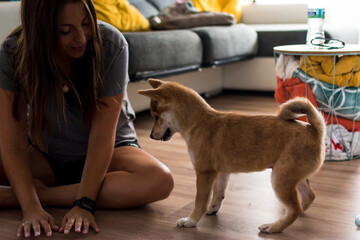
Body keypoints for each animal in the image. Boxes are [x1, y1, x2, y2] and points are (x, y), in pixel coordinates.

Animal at [138, 79, 326, 233]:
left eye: (156, 117)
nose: (151, 136)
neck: (198, 123)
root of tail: (315, 131)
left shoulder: (204, 172)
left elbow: (200, 201)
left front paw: (191, 221)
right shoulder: (221, 172)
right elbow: (218, 194)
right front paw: (212, 209)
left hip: (280, 178)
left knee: (295, 208)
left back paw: (273, 227)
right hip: (292, 177)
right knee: (306, 199)